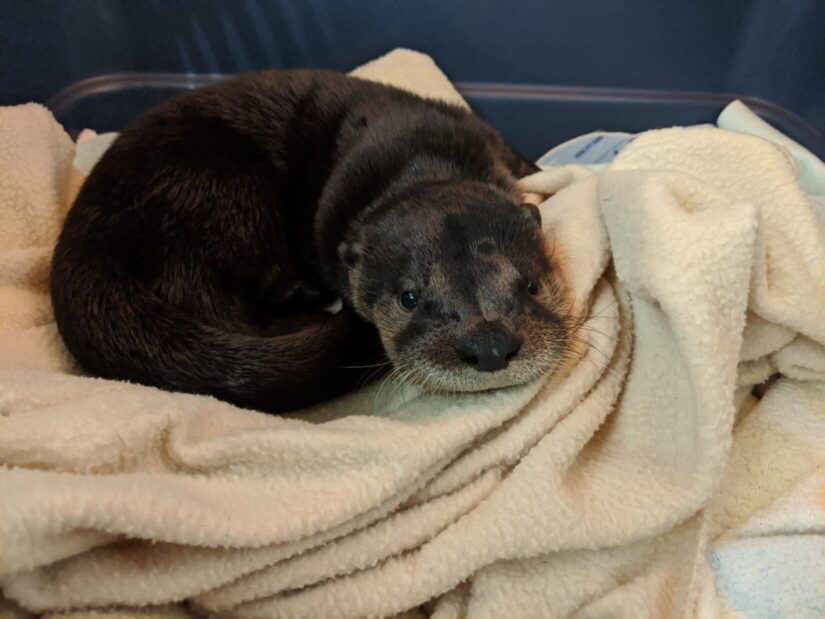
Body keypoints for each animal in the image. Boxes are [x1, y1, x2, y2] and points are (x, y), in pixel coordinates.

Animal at [48, 70, 568, 414]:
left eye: (531, 285)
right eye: (409, 298)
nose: (489, 344)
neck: (419, 155)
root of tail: (86, 231)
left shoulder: (480, 133)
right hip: (214, 188)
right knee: (215, 300)